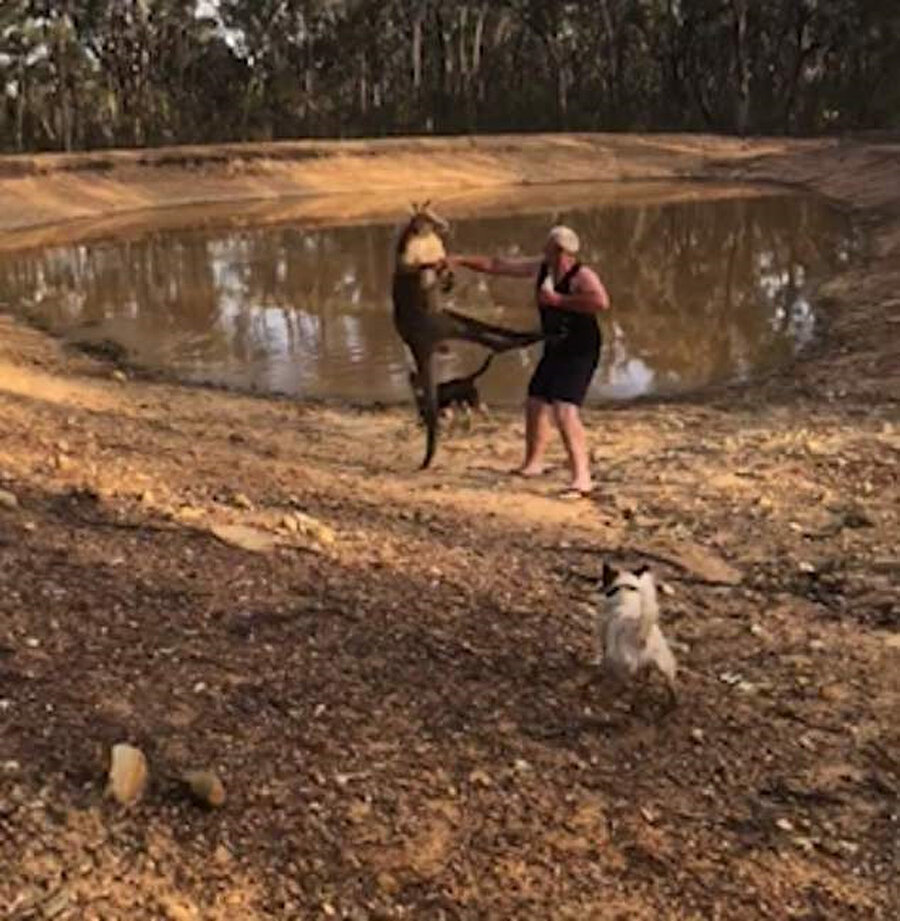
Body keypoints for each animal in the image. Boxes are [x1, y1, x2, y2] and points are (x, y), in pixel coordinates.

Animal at [596, 560, 680, 704]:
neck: (626, 594)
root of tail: (641, 636)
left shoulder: (604, 635)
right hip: (665, 666)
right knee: (669, 686)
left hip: (622, 663)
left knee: (621, 681)